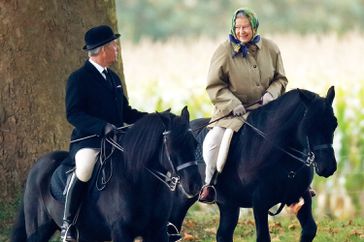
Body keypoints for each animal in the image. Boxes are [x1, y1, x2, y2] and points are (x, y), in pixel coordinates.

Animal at [11, 107, 203, 242]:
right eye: (171, 146)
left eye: (194, 143)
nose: (195, 185)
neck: (140, 183)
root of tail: (39, 165)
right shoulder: (121, 232)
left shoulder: (157, 231)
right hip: (39, 229)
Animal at [169, 88, 336, 242]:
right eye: (309, 125)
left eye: (334, 124)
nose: (328, 167)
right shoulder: (260, 202)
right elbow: (263, 237)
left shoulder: (300, 195)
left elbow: (309, 229)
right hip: (181, 200)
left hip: (229, 204)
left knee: (223, 234)